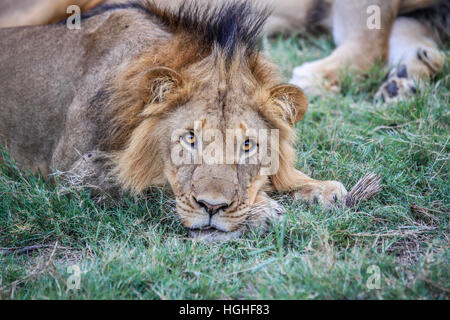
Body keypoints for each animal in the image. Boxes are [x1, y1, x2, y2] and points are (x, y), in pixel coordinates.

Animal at [0, 0, 348, 240]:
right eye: (190, 138)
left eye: (248, 145)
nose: (212, 207)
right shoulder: (74, 177)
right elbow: (158, 185)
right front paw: (262, 211)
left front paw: (320, 188)